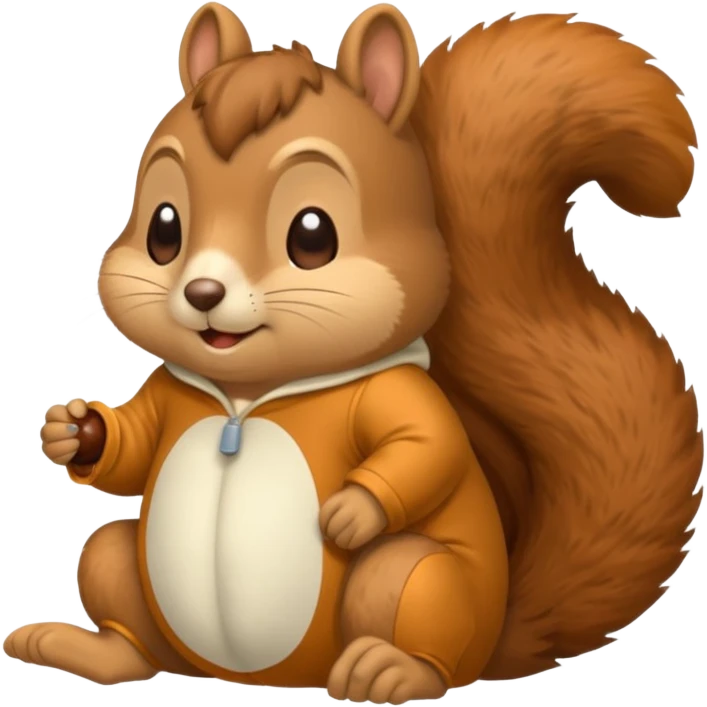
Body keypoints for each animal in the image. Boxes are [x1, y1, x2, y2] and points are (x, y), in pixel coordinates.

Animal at [5, 2, 703, 702]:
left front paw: (349, 512)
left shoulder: (396, 394)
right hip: (124, 573)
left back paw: (385, 670)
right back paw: (85, 648)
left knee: (417, 620)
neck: (243, 399)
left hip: (416, 582)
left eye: (313, 235)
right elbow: (132, 449)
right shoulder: (171, 392)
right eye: (163, 229)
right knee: (120, 594)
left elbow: (428, 445)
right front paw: (74, 431)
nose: (203, 292)